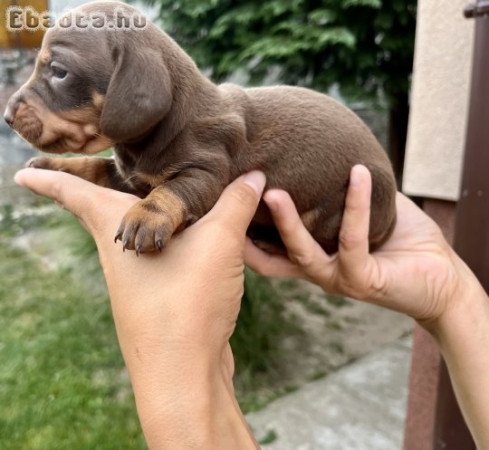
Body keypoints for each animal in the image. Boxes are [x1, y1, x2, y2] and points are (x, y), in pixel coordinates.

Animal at [3, 0, 396, 255]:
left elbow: (174, 189)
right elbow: (93, 166)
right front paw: (53, 166)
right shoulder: (129, 178)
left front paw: (147, 216)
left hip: (335, 209)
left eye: (59, 72)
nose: (6, 116)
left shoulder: (206, 169)